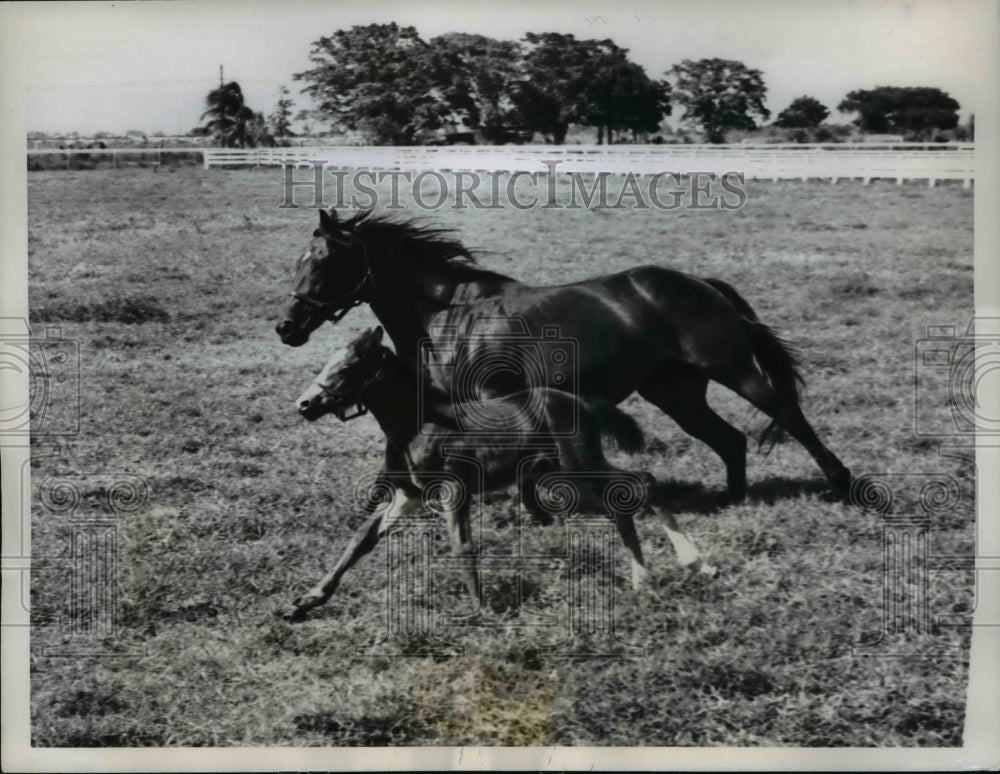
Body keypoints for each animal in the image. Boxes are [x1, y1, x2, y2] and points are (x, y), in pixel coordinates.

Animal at [276, 212, 852, 504]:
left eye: (326, 260)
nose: (287, 327)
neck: (446, 317)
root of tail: (700, 284)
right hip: (675, 392)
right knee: (729, 438)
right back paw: (735, 498)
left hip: (730, 368)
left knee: (787, 413)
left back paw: (842, 482)